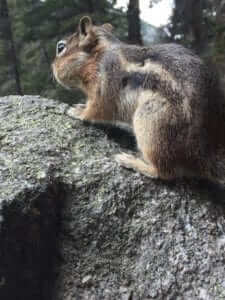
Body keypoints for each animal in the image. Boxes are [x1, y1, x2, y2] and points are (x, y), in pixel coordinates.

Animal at [52, 16, 225, 183]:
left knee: (165, 172)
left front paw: (77, 111)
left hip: (151, 123)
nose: (52, 69)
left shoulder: (105, 85)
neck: (98, 57)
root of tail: (202, 156)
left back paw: (133, 162)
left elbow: (96, 109)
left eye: (60, 47)